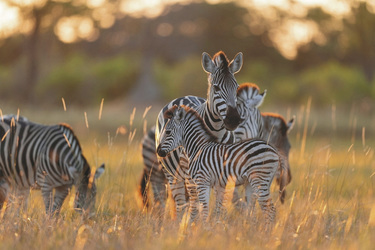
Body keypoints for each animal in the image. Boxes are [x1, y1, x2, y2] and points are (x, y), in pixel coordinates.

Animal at [148, 51, 244, 219]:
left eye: (237, 87)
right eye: (216, 87)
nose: (233, 120)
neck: (215, 133)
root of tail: (183, 96)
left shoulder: (222, 172)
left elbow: (219, 207)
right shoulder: (192, 173)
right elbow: (195, 207)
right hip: (173, 174)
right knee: (182, 204)